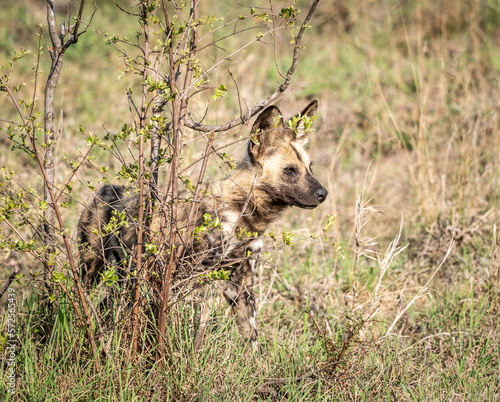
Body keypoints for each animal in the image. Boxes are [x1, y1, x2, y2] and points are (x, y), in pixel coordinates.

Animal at [77, 100, 328, 352]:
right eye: (290, 170)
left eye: (310, 167)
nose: (323, 194)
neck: (242, 213)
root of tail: (106, 190)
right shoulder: (191, 279)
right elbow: (192, 329)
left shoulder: (241, 282)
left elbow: (252, 337)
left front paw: (257, 362)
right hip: (92, 271)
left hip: (125, 283)